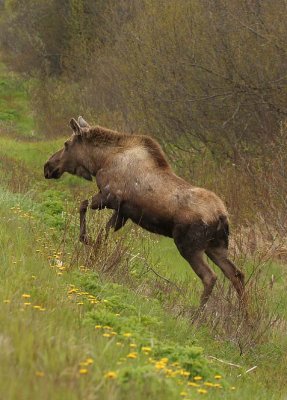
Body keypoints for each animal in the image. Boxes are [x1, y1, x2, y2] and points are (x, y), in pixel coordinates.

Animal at [44, 117, 245, 308]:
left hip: (189, 246)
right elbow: (103, 234)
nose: (47, 167)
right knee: (237, 274)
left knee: (210, 277)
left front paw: (86, 239)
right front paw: (93, 254)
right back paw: (244, 315)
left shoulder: (110, 197)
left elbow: (83, 205)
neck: (99, 161)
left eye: (66, 144)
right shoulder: (123, 212)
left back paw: (197, 315)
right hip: (216, 246)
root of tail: (222, 216)